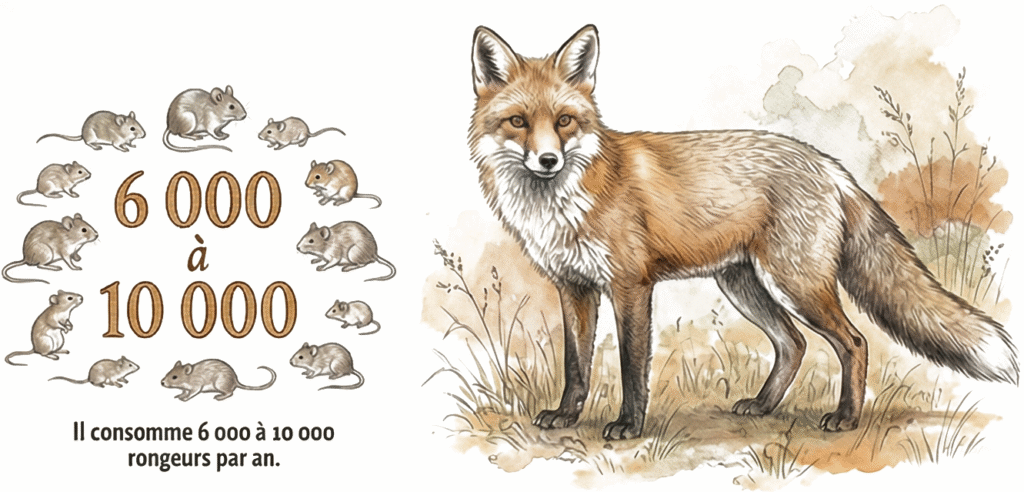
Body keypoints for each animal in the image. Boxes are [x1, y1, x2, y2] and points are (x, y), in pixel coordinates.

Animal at [467, 24, 1018, 441]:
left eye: (564, 121)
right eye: (518, 121)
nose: (547, 160)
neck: (561, 205)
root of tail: (829, 165)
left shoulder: (630, 285)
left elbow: (631, 365)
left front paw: (629, 425)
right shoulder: (574, 287)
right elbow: (576, 364)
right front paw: (566, 416)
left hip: (796, 283)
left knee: (855, 342)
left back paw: (845, 417)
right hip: (744, 284)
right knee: (794, 344)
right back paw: (765, 405)